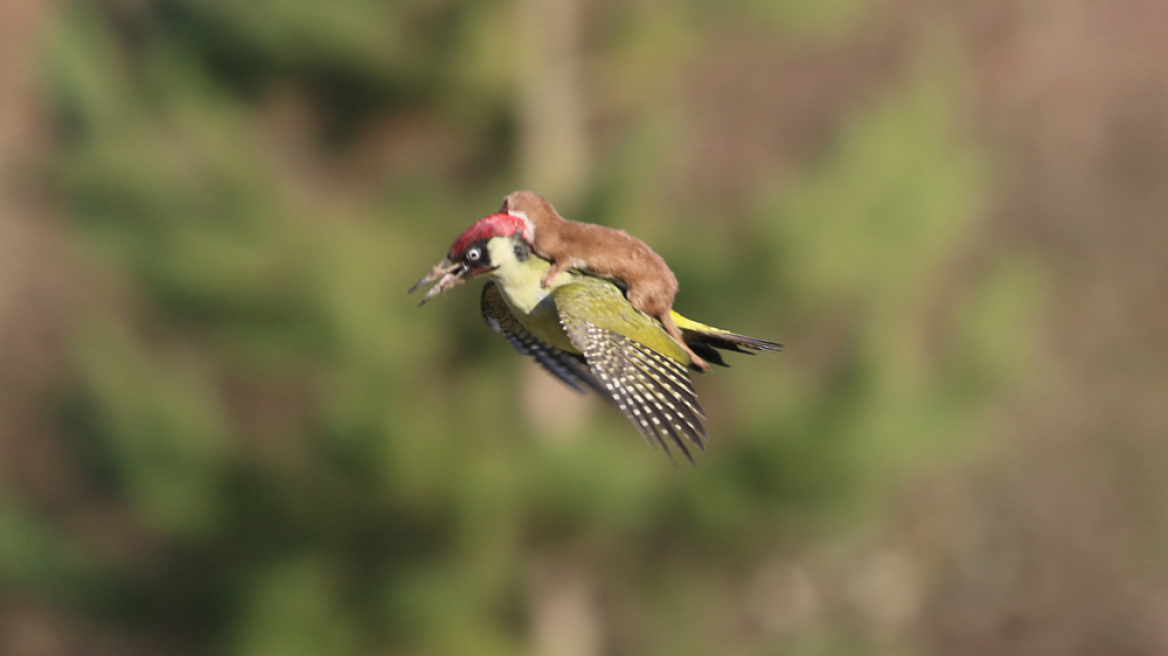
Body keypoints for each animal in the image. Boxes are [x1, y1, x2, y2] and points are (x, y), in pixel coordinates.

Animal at [497, 191, 705, 371]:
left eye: (502, 206)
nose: (496, 211)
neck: (544, 229)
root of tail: (669, 298)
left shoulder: (561, 249)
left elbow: (562, 262)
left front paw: (547, 279)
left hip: (642, 290)